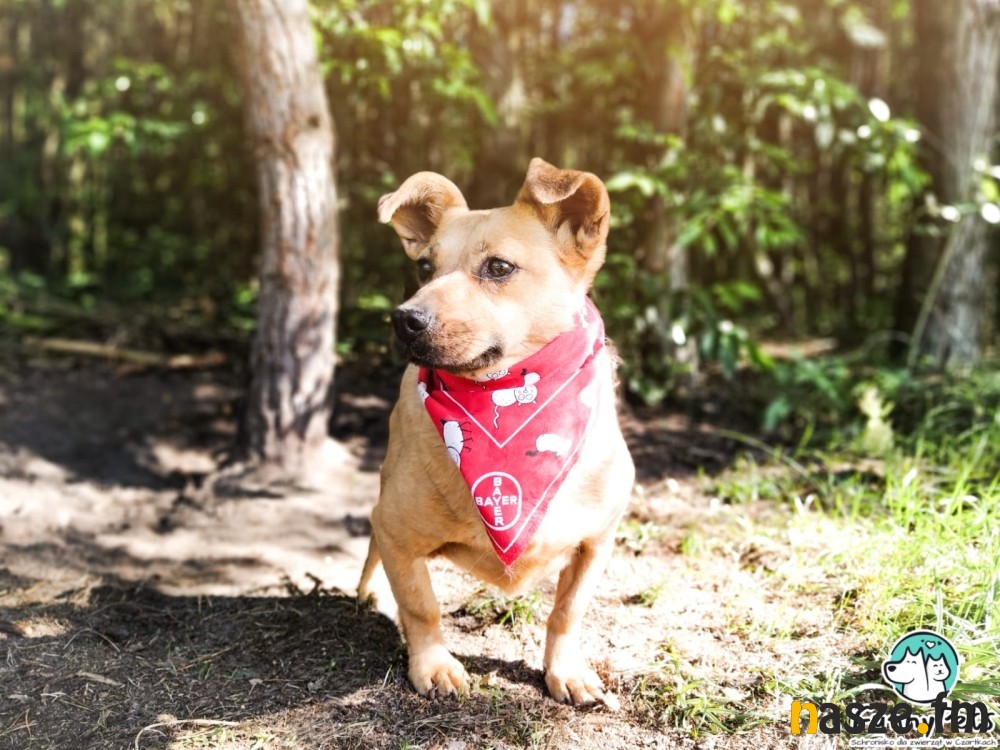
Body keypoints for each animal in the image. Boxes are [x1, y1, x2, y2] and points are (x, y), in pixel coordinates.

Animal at [358, 158, 635, 708]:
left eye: (499, 268)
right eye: (425, 268)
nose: (404, 319)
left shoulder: (598, 540)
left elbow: (568, 610)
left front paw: (565, 670)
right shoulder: (397, 530)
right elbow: (420, 604)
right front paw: (433, 664)